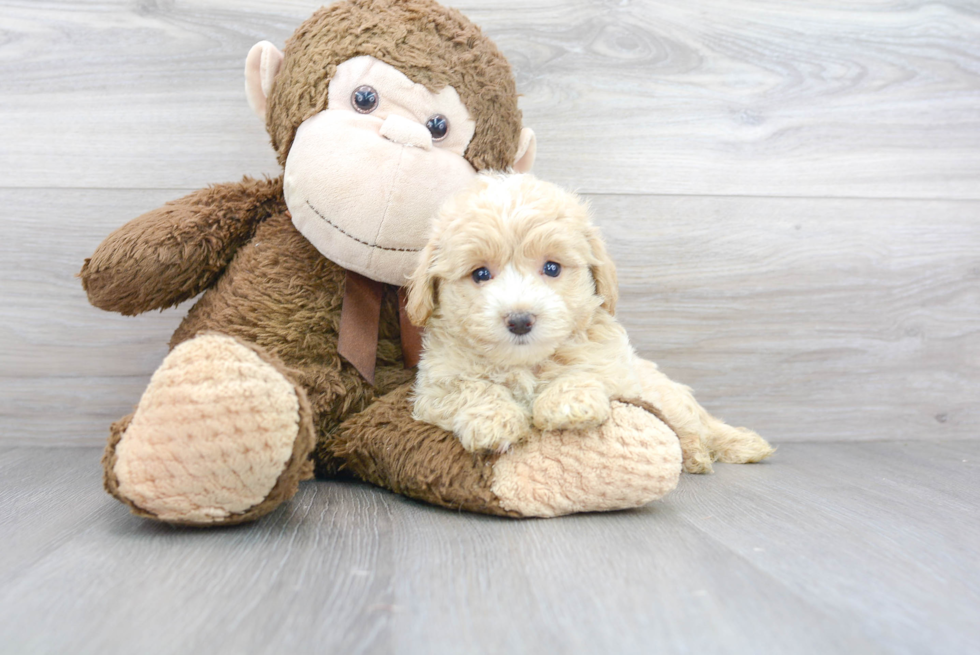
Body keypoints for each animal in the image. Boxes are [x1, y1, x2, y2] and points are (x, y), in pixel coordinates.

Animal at [404, 172, 640, 454]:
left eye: (552, 268)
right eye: (480, 274)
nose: (519, 321)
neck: (523, 364)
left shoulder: (614, 366)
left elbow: (587, 366)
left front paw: (568, 402)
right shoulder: (435, 386)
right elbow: (471, 387)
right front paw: (493, 421)